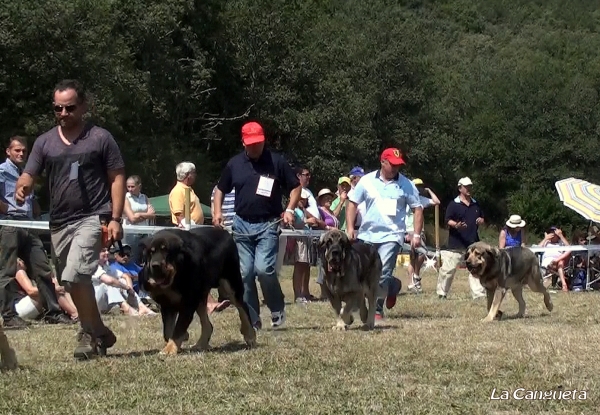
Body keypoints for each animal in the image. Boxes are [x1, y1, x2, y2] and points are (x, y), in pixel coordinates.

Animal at [138, 228, 255, 358]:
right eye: (151, 252)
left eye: (167, 251)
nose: (155, 265)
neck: (177, 275)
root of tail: (226, 233)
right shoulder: (167, 304)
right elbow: (168, 330)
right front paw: (180, 340)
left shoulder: (188, 303)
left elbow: (178, 328)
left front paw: (170, 349)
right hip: (201, 296)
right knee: (208, 325)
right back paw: (200, 344)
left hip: (230, 283)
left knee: (242, 306)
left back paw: (250, 334)